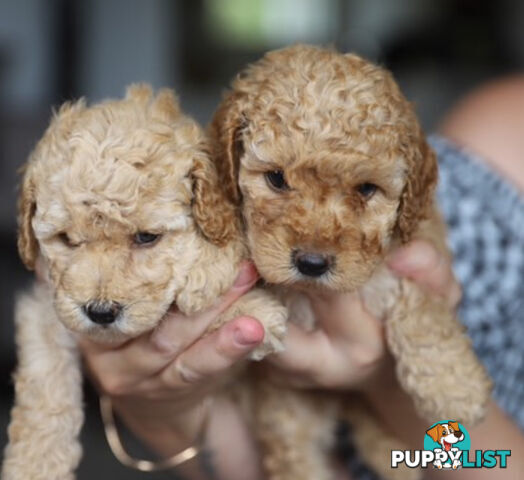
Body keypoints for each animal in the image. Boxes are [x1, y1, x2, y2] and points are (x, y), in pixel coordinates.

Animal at [1, 85, 286, 480]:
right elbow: (46, 379)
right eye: (67, 239)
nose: (100, 312)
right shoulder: (45, 302)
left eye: (146, 237)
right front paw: (35, 466)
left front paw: (223, 287)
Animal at [209, 45, 492, 480]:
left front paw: (453, 385)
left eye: (366, 189)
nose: (311, 263)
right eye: (276, 178)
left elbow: (423, 307)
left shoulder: (419, 245)